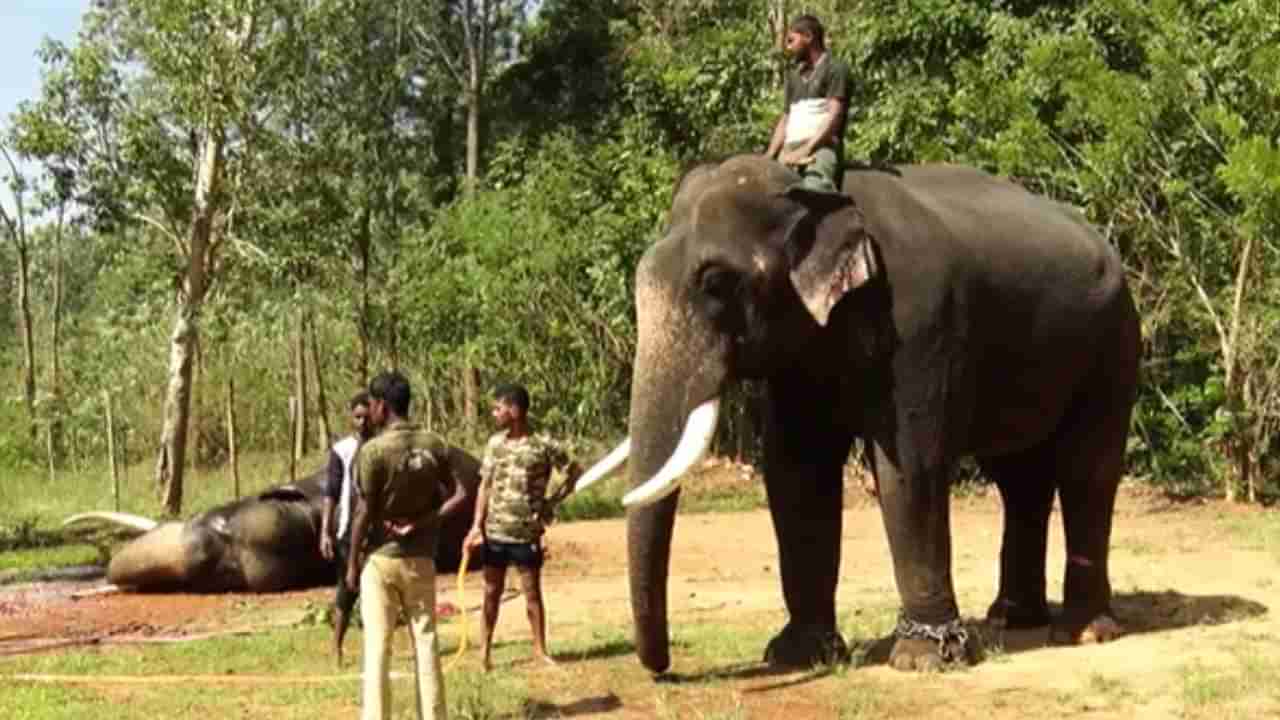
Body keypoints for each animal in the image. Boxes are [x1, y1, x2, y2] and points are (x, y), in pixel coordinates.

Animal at [581, 152, 1141, 671]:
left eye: (717, 283)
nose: (663, 669)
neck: (814, 197)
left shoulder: (918, 325)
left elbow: (909, 469)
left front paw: (924, 659)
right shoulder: (801, 355)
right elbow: (797, 474)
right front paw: (798, 655)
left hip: (1113, 342)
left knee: (1087, 469)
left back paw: (1083, 632)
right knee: (1020, 476)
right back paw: (1013, 618)